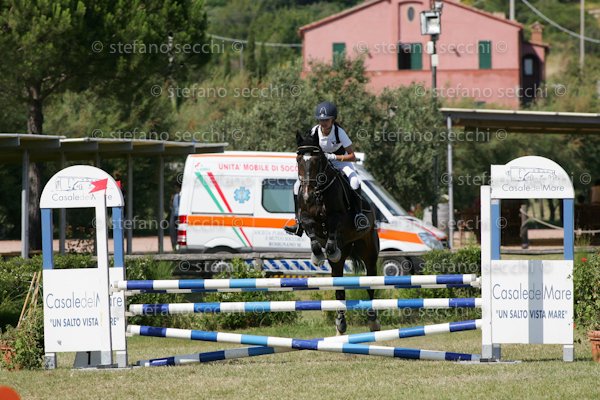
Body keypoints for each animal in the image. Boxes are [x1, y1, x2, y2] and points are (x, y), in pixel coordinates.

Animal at [294, 134, 381, 335]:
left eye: (317, 160)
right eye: (298, 160)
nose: (308, 195)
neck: (319, 191)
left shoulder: (338, 218)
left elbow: (333, 228)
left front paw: (330, 251)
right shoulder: (306, 217)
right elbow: (311, 232)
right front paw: (318, 255)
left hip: (369, 252)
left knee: (370, 283)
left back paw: (373, 321)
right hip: (341, 263)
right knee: (339, 288)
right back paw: (340, 325)